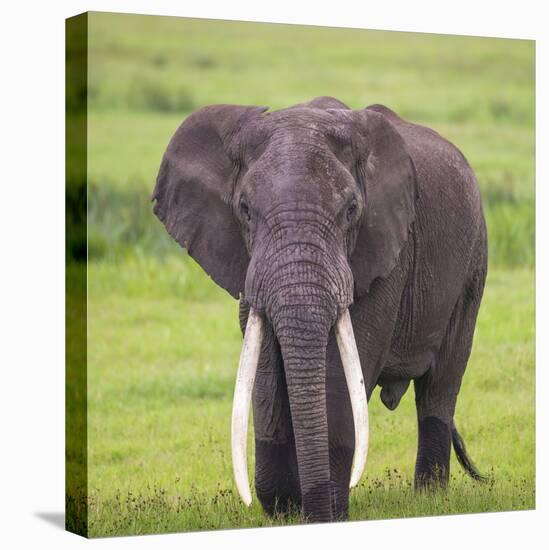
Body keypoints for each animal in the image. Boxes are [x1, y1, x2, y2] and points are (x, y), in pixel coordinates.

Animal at [152, 97, 486, 524]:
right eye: (244, 209)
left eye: (351, 210)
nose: (311, 509)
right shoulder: (247, 264)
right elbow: (265, 365)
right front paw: (284, 510)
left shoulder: (385, 253)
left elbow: (346, 368)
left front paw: (327, 513)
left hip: (472, 264)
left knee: (441, 384)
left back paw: (429, 501)